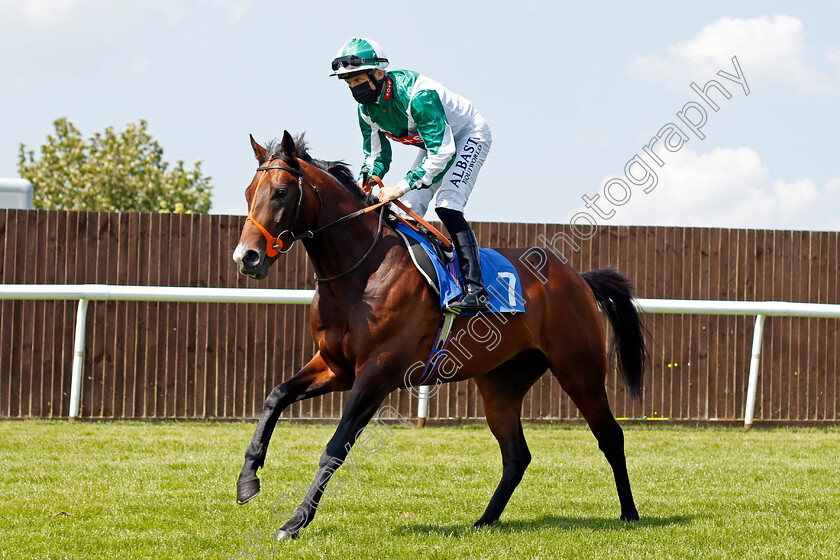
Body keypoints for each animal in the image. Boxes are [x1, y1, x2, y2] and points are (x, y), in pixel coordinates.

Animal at [233, 130, 648, 540]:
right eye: (249, 192)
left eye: (281, 192)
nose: (246, 257)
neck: (363, 272)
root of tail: (579, 278)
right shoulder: (336, 366)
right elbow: (276, 396)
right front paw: (248, 480)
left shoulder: (377, 374)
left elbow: (336, 446)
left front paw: (295, 521)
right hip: (501, 383)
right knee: (517, 456)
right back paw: (485, 520)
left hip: (579, 371)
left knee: (611, 436)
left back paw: (629, 513)